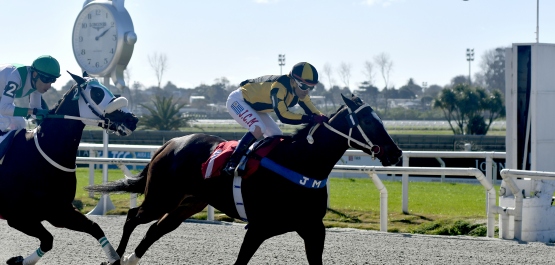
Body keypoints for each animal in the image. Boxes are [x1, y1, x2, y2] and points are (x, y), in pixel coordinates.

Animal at [0, 71, 138, 264]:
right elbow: (48, 240)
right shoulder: (17, 216)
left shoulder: (60, 211)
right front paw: (17, 260)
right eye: (97, 93)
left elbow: (94, 227)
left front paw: (113, 258)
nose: (132, 119)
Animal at [87, 94, 402, 262]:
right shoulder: (258, 228)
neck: (300, 164)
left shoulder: (313, 229)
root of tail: (169, 143)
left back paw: (131, 259)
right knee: (133, 217)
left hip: (188, 203)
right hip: (161, 197)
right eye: (369, 121)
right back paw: (116, 256)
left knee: (155, 229)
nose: (396, 153)